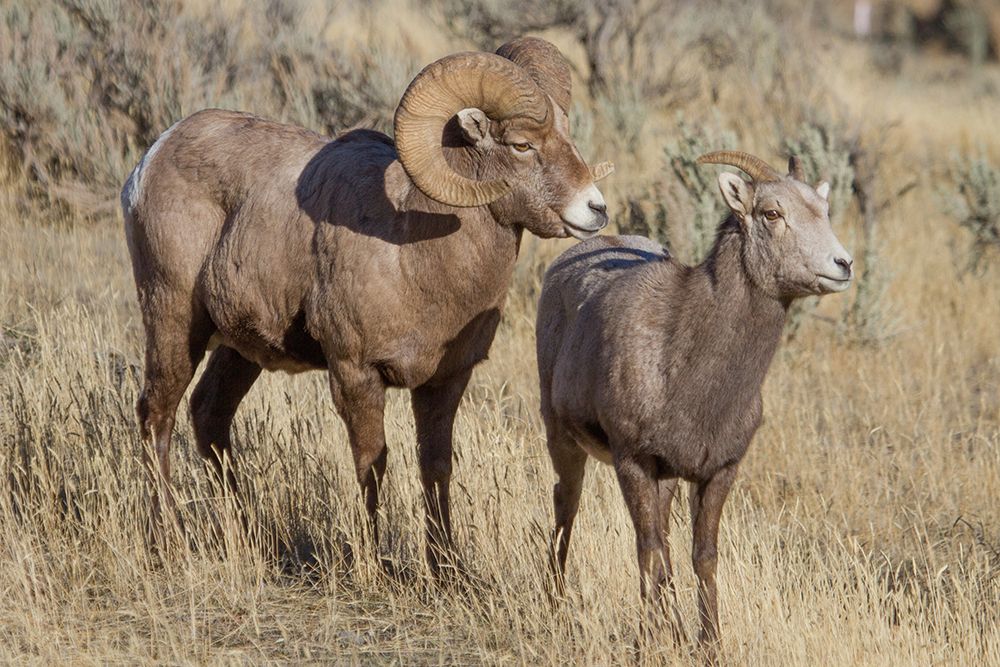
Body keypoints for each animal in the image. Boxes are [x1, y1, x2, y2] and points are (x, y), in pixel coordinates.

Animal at [121, 37, 612, 571]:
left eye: (568, 135)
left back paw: (249, 535)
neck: (414, 255)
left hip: (240, 349)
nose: (596, 209)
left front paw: (447, 568)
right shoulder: (356, 374)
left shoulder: (444, 382)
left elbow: (436, 467)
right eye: (522, 145)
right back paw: (167, 541)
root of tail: (152, 159)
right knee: (157, 414)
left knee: (210, 415)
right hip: (173, 320)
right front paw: (375, 566)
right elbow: (372, 466)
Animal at [535, 151, 853, 650]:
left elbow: (701, 555)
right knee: (568, 504)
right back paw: (557, 602)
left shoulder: (717, 472)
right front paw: (652, 640)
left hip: (664, 480)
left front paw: (708, 642)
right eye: (772, 213)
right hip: (563, 438)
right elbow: (648, 548)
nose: (842, 264)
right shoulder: (633, 462)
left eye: (823, 210)